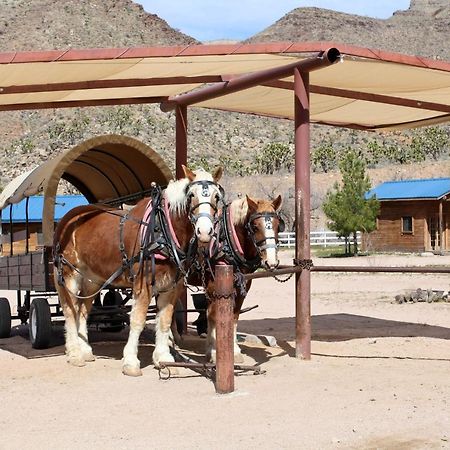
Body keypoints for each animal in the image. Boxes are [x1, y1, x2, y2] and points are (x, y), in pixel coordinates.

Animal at [53, 165, 224, 376]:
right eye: (191, 195)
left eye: (216, 196)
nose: (205, 231)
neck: (162, 228)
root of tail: (68, 218)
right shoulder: (144, 284)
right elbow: (138, 319)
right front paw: (131, 362)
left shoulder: (171, 286)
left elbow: (164, 320)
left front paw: (164, 359)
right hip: (69, 274)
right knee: (70, 310)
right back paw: (75, 353)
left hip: (93, 280)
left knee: (83, 311)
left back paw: (85, 350)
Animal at [196, 195, 282, 364]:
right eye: (254, 227)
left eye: (277, 225)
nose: (271, 262)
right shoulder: (213, 286)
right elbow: (214, 316)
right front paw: (215, 352)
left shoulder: (243, 284)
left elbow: (234, 316)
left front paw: (234, 350)